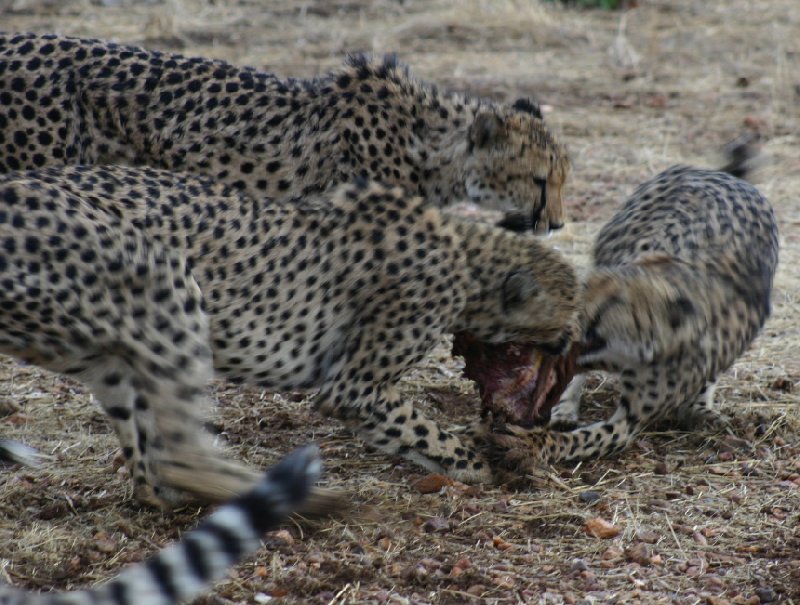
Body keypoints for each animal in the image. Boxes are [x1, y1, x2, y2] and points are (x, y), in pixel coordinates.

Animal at [0, 163, 580, 502]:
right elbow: (419, 426)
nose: (574, 343)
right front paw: (477, 463)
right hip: (165, 283)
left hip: (108, 349)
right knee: (176, 453)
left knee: (150, 468)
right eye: (568, 313)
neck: (467, 257)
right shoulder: (353, 387)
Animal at [490, 158, 780, 464]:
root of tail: (721, 174)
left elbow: (579, 439)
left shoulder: (629, 421)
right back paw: (566, 407)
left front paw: (531, 444)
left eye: (597, 317)